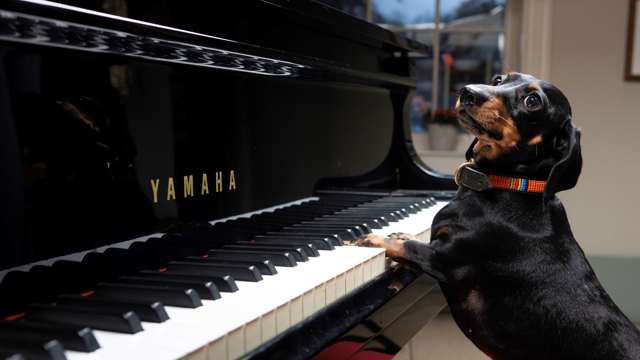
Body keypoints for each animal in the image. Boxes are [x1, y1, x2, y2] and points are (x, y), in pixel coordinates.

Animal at [360, 72, 640, 358]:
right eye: (498, 79)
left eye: (532, 101)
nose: (467, 92)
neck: (510, 184)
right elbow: (412, 240)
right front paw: (399, 234)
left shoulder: (445, 259)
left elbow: (413, 248)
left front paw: (374, 240)